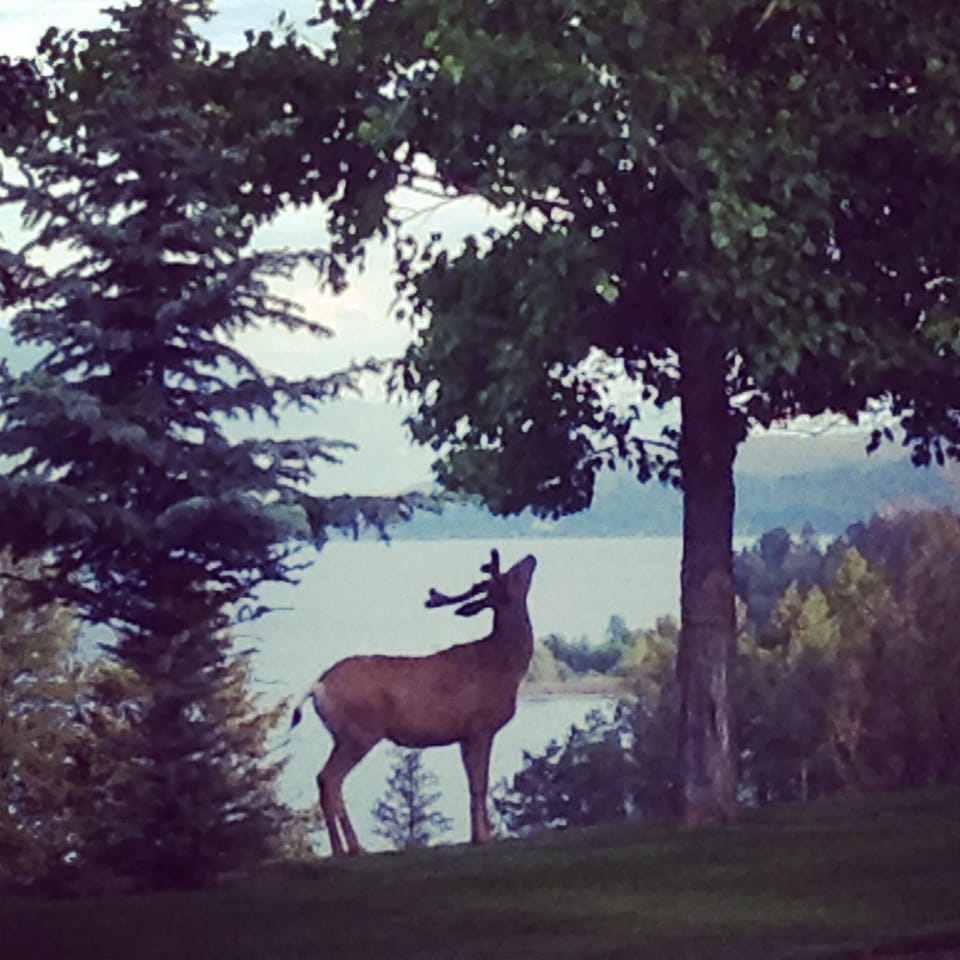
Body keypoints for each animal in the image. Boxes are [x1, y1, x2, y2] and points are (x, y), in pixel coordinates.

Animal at [290, 549, 537, 857]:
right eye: (512, 574)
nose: (531, 557)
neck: (503, 667)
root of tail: (318, 686)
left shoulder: (465, 735)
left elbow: (474, 783)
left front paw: (478, 835)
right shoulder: (480, 727)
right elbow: (480, 784)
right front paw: (484, 837)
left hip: (342, 736)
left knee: (327, 781)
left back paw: (348, 848)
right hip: (358, 733)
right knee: (330, 779)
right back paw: (348, 848)